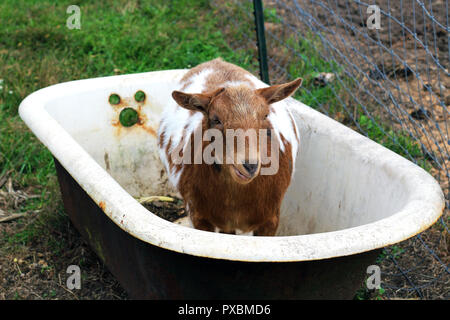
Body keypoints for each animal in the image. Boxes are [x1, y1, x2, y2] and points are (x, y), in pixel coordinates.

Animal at [156, 58, 300, 235]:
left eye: (266, 115)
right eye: (216, 119)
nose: (250, 165)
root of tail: (217, 61)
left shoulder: (270, 219)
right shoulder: (199, 216)